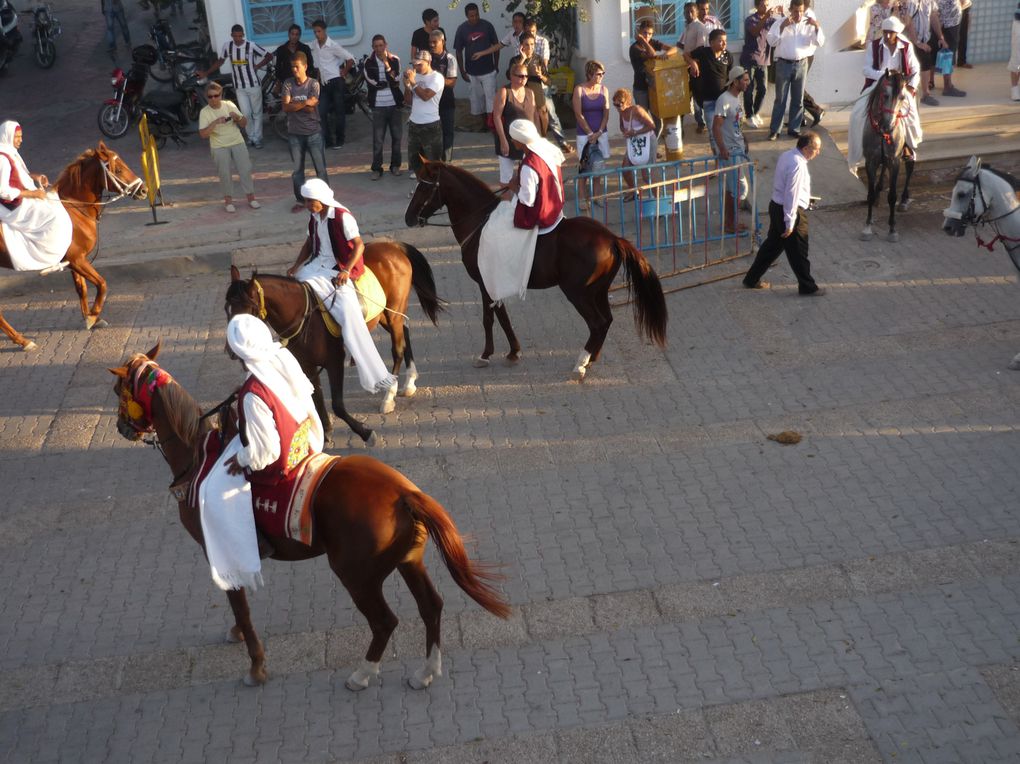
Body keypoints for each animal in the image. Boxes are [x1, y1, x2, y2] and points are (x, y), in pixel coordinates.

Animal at [0, 139, 145, 348]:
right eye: (117, 169)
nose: (143, 190)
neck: (75, 209)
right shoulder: (78, 260)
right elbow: (102, 284)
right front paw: (92, 316)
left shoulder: (75, 261)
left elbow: (81, 288)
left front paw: (91, 317)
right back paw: (23, 340)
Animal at [111, 342, 510, 689]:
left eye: (118, 389)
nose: (122, 428)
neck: (196, 460)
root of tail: (404, 493)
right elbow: (239, 603)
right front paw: (239, 635)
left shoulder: (219, 550)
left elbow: (240, 605)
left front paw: (255, 665)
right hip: (409, 561)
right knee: (431, 607)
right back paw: (426, 671)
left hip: (356, 575)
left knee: (384, 622)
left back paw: (363, 674)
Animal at [227, 238, 442, 444]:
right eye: (226, 308)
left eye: (248, 310)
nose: (231, 350)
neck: (304, 314)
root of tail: (392, 245)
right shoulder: (308, 365)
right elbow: (317, 397)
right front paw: (326, 430)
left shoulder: (334, 361)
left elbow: (337, 405)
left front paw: (365, 432)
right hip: (383, 314)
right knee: (404, 334)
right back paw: (409, 382)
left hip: (393, 312)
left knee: (397, 348)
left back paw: (389, 395)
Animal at [405, 158, 669, 379]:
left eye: (424, 187)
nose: (408, 218)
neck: (480, 222)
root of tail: (612, 238)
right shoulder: (493, 284)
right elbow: (502, 317)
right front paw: (513, 351)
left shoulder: (485, 283)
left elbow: (489, 318)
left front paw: (486, 355)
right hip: (598, 291)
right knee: (606, 321)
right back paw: (592, 358)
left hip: (578, 293)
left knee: (597, 323)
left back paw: (580, 364)